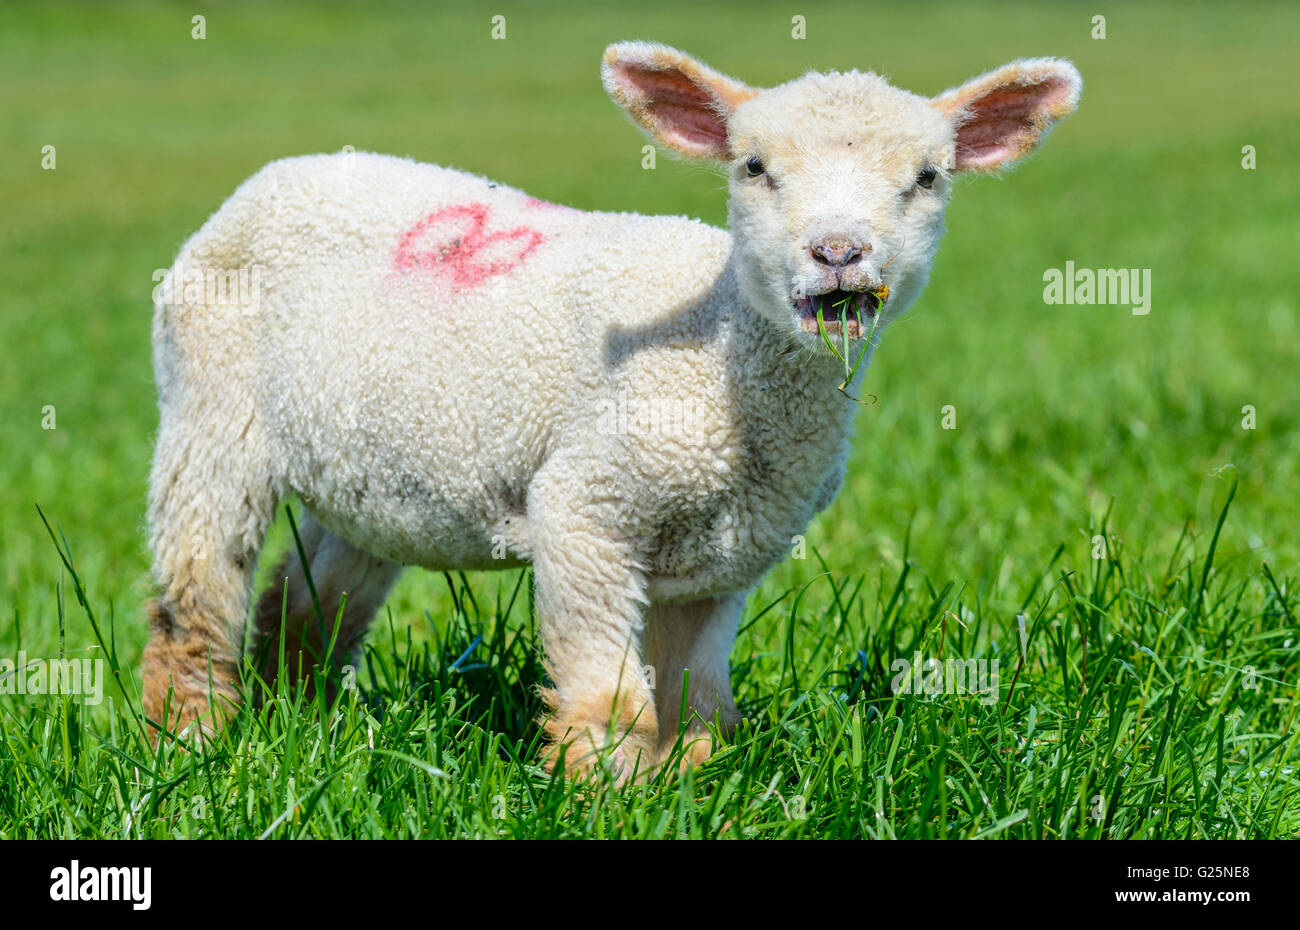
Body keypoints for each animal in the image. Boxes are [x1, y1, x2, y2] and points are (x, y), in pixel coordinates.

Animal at [142, 41, 1081, 780]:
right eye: (753, 167)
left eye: (928, 177)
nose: (839, 252)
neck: (722, 363)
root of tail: (281, 173)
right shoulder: (588, 509)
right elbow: (611, 696)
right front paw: (600, 792)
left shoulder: (730, 554)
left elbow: (699, 709)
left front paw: (689, 791)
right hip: (209, 407)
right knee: (193, 597)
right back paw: (188, 743)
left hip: (376, 471)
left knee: (309, 605)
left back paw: (297, 717)